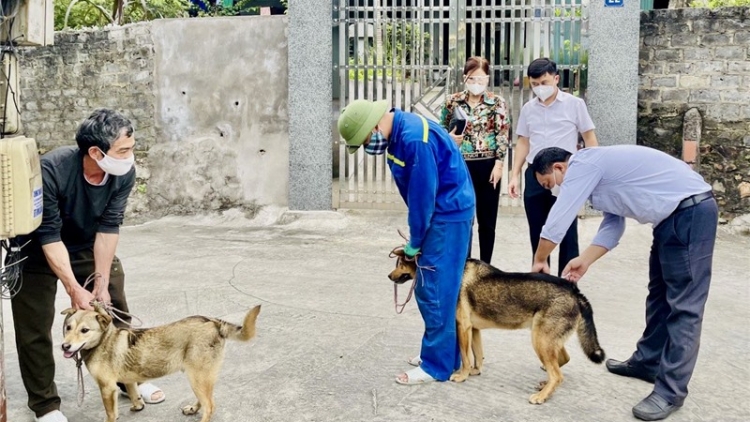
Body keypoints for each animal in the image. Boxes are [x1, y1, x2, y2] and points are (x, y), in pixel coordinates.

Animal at [60, 304, 262, 422]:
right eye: (68, 328)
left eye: (84, 330)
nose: (64, 346)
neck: (103, 340)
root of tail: (213, 322)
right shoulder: (128, 379)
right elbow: (133, 392)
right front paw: (137, 406)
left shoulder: (107, 388)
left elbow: (110, 414)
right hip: (199, 376)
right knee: (206, 401)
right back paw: (193, 408)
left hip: (197, 376)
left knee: (210, 406)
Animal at [390, 249, 608, 404]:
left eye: (400, 264)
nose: (389, 276)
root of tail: (574, 291)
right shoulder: (474, 330)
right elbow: (477, 356)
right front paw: (475, 372)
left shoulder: (463, 328)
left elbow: (465, 357)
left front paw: (462, 376)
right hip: (546, 341)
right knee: (562, 362)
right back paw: (545, 386)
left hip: (540, 341)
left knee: (558, 375)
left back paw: (542, 396)